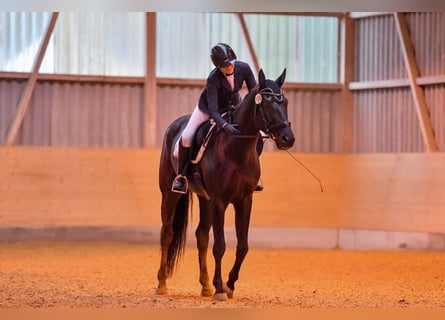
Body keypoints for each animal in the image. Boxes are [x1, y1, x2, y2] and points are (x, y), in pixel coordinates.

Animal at [156, 69, 294, 302]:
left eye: (284, 102)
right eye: (267, 103)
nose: (288, 139)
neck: (236, 150)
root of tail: (174, 125)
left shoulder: (244, 201)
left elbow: (243, 246)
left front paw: (229, 285)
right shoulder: (220, 201)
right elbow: (219, 246)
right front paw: (220, 288)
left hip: (204, 199)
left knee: (201, 235)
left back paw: (205, 286)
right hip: (169, 193)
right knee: (167, 233)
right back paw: (162, 284)